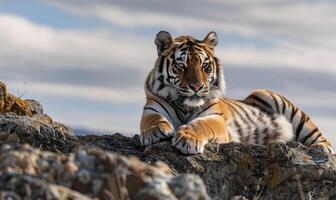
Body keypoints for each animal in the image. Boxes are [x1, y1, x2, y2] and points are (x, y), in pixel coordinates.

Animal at [139, 30, 334, 154]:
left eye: (205, 66)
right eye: (181, 66)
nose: (197, 87)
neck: (186, 105)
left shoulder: (214, 117)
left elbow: (199, 125)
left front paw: (187, 139)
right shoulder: (152, 109)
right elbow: (154, 120)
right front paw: (156, 132)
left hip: (279, 103)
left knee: (323, 140)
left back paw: (320, 149)